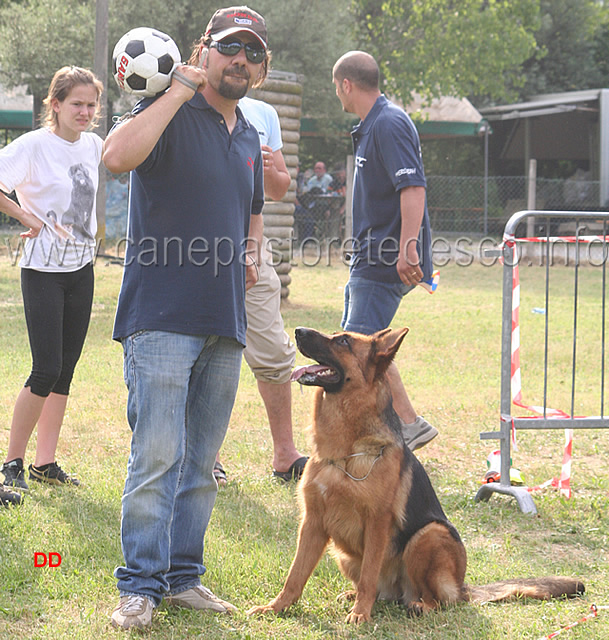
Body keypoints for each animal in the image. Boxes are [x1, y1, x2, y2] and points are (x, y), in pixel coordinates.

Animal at [248, 328, 584, 624]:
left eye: (343, 341)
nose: (297, 330)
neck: (346, 451)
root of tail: (462, 586)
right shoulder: (312, 524)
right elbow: (295, 575)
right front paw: (276, 608)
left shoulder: (377, 523)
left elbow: (368, 574)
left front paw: (361, 615)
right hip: (343, 554)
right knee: (381, 591)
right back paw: (358, 596)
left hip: (429, 535)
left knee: (436, 599)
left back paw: (417, 605)